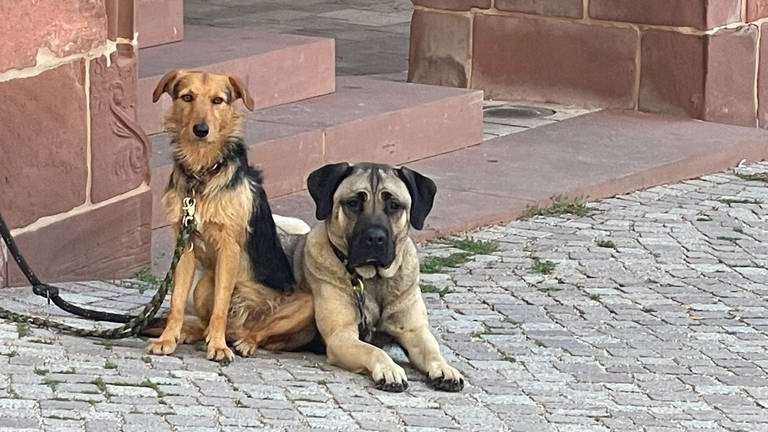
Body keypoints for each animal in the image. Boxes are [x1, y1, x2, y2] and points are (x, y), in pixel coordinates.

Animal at [147, 70, 316, 362]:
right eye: (187, 97)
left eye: (218, 100)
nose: (201, 130)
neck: (202, 174)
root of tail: (240, 327)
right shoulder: (185, 248)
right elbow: (176, 302)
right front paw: (167, 338)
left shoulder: (229, 248)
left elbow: (221, 306)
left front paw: (217, 347)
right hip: (203, 286)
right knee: (208, 320)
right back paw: (193, 333)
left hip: (306, 304)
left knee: (259, 333)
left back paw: (243, 342)